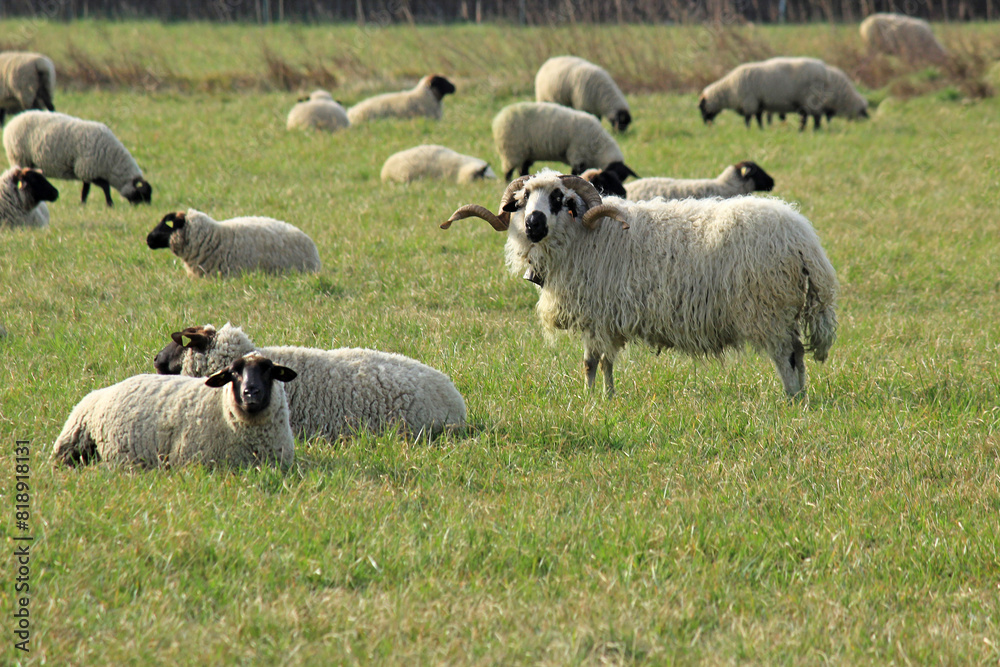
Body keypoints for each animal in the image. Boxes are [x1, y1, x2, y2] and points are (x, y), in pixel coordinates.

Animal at [3, 110, 152, 206]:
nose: (147, 208)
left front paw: (82, 203)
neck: (112, 161)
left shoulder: (85, 170)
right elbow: (105, 186)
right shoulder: (88, 169)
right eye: (142, 194)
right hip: (19, 157)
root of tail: (12, 122)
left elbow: (86, 189)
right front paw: (110, 203)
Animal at [441, 170, 838, 398]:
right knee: (798, 352)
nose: (532, 224)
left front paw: (595, 400)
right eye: (523, 200)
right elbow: (600, 362)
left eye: (560, 199)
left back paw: (789, 398)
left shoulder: (597, 316)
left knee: (786, 356)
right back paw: (802, 397)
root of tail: (804, 241)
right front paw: (602, 398)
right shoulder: (602, 318)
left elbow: (594, 362)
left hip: (767, 310)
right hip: (782, 312)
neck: (584, 237)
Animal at [492, 101, 638, 183]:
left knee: (522, 169)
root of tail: (498, 118)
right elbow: (575, 172)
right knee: (508, 171)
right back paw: (506, 182)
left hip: (525, 153)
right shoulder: (578, 155)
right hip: (512, 150)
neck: (599, 147)